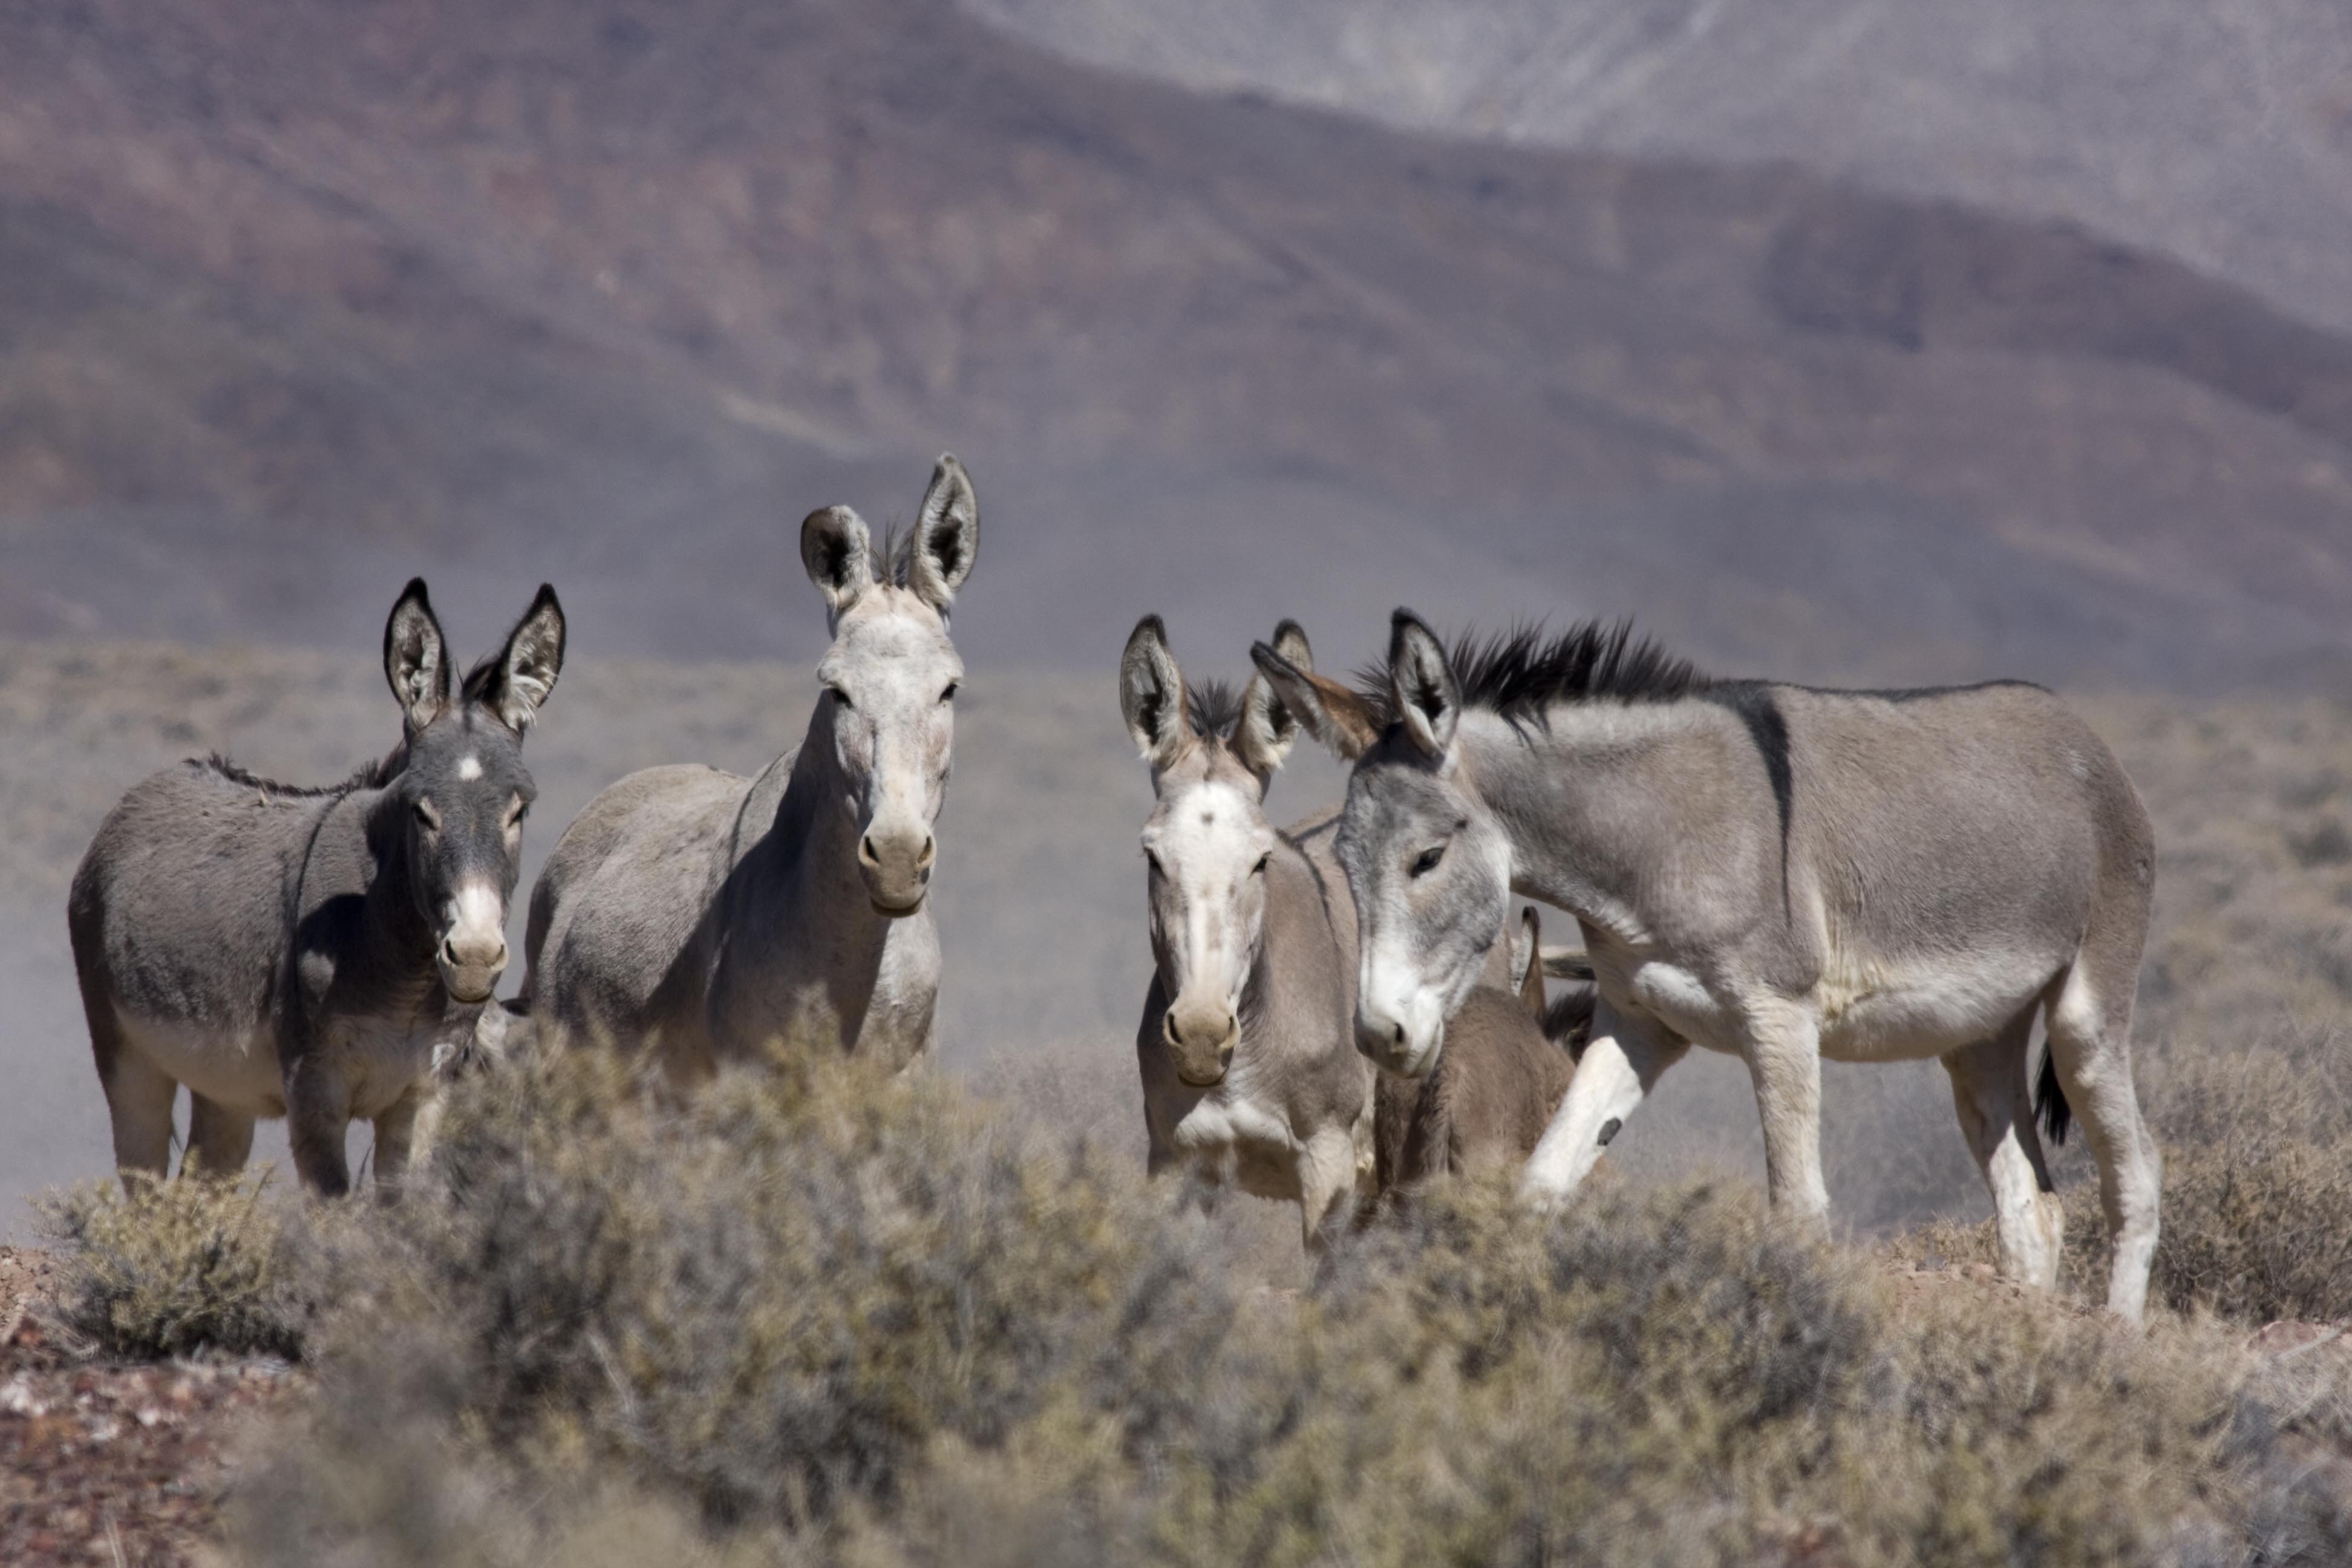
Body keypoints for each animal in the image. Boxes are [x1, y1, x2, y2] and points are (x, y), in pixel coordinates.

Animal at [68, 583, 564, 1194]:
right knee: (145, 1181)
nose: (473, 956)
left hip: (223, 1087)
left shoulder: (423, 1095)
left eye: (520, 809)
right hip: (127, 1056)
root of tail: (150, 786)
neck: (400, 969)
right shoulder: (315, 1094)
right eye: (419, 809)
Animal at [1260, 620, 2154, 1316]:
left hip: (2085, 1017)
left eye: (1427, 858)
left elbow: (1798, 1209)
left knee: (2137, 1178)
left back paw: (2119, 1345)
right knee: (2030, 1209)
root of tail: (2087, 744)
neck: (1654, 843)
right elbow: (1543, 1186)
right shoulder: (1639, 1026)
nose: (1381, 1037)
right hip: (1980, 1040)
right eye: (1344, 864)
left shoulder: (1781, 1020)